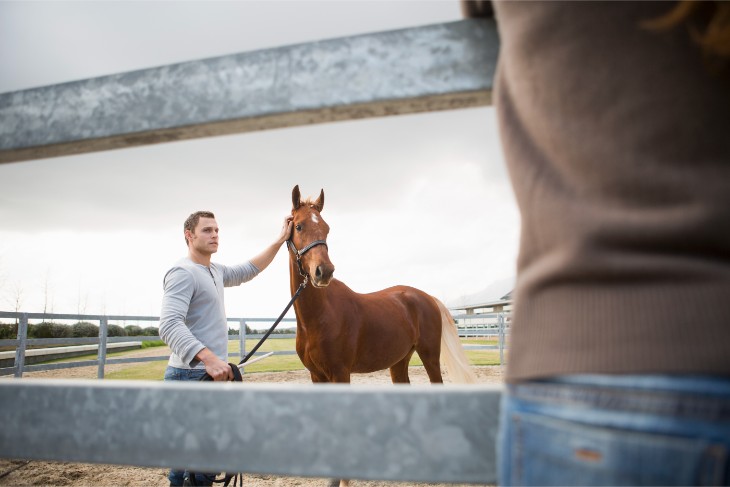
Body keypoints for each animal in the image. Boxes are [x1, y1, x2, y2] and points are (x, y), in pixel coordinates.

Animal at [288, 185, 474, 386]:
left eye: (327, 229)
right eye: (298, 226)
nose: (324, 271)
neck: (318, 316)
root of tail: (428, 297)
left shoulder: (340, 373)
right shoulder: (317, 376)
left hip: (429, 356)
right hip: (400, 360)